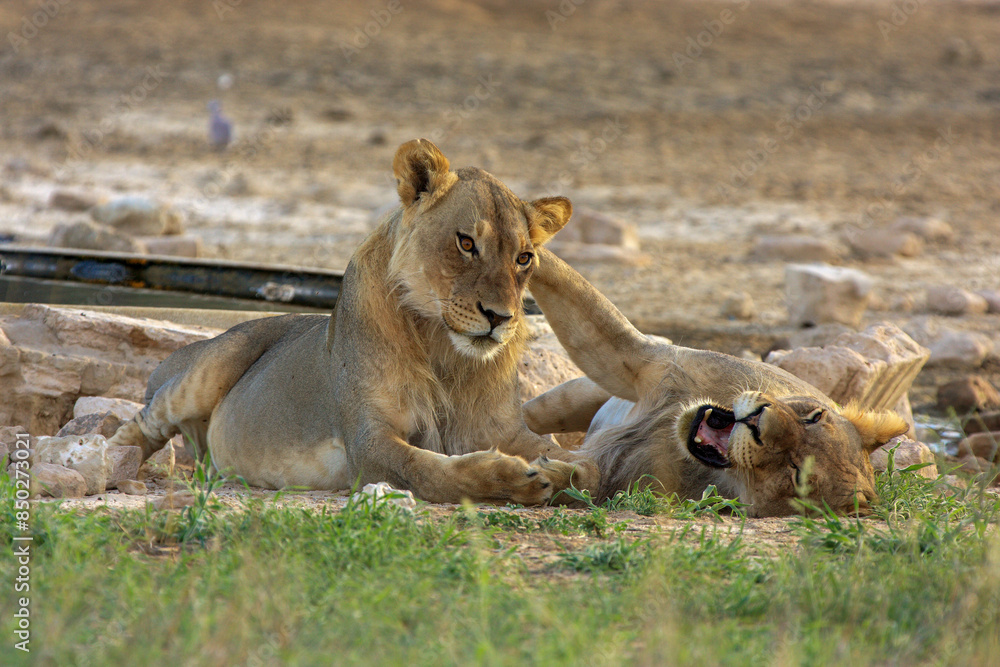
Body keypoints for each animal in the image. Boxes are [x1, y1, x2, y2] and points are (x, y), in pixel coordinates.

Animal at [108, 139, 598, 505]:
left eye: (524, 258)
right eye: (465, 243)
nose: (499, 317)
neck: (443, 348)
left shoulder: (503, 429)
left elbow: (591, 469)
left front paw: (559, 469)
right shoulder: (368, 440)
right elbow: (428, 471)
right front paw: (513, 478)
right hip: (210, 364)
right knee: (146, 419)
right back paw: (113, 455)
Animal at [522, 248, 908, 516]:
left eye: (796, 472)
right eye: (813, 416)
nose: (758, 420)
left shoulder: (614, 476)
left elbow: (578, 480)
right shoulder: (644, 359)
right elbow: (561, 277)